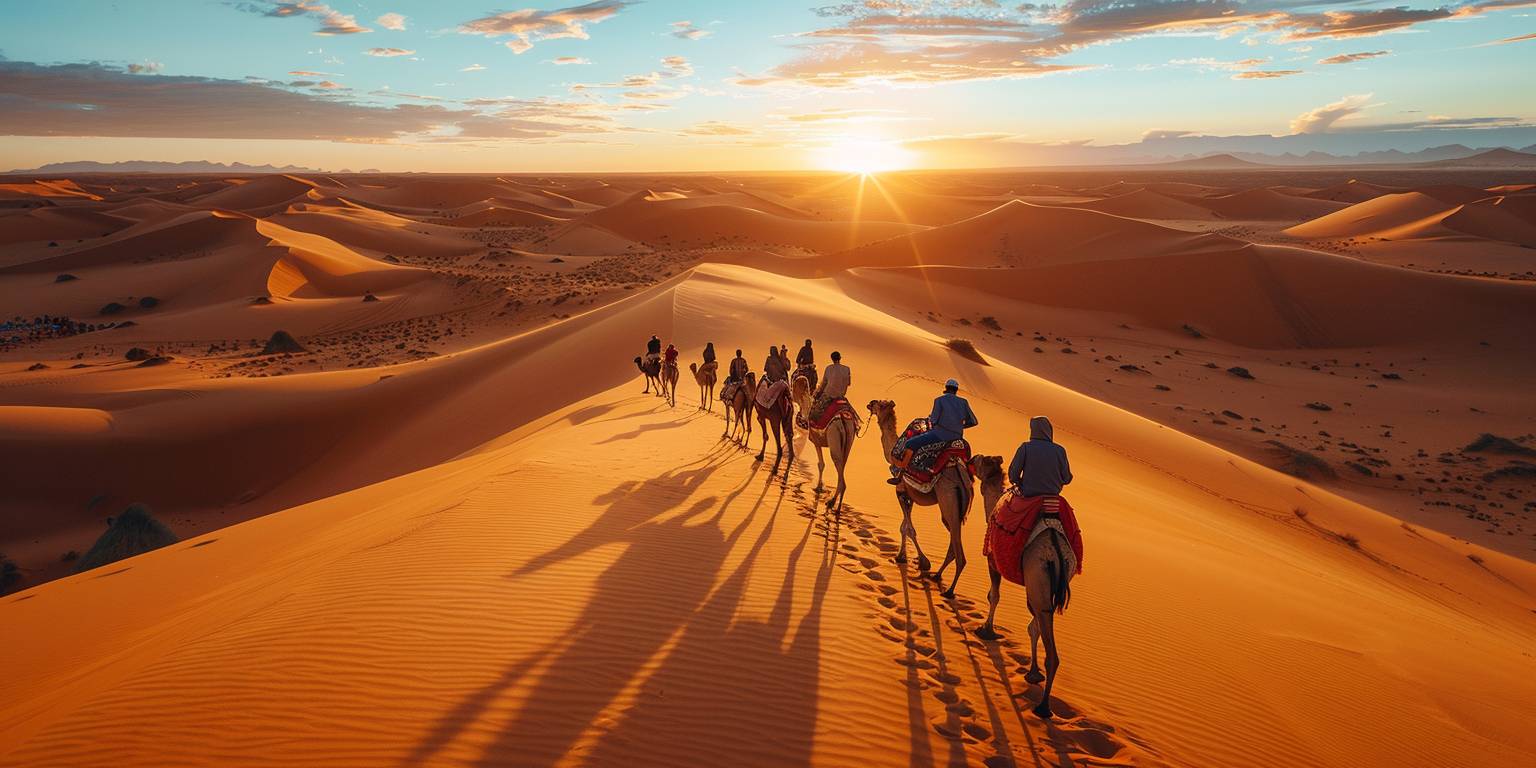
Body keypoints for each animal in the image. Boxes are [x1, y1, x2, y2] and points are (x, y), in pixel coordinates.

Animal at [792, 374, 866, 513]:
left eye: (795, 386)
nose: (791, 394)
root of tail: (844, 419)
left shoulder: (816, 440)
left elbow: (821, 464)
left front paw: (818, 487)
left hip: (834, 435)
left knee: (836, 463)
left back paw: (831, 502)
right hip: (848, 442)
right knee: (842, 466)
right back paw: (837, 507)